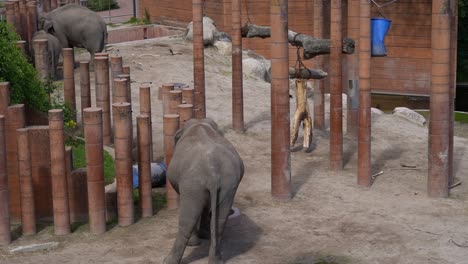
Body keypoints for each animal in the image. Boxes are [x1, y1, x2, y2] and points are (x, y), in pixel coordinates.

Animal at [165, 119, 245, 264]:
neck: (199, 123)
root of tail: (213, 173)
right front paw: (204, 236)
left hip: (192, 185)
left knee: (188, 220)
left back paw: (169, 260)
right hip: (228, 185)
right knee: (220, 221)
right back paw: (216, 260)